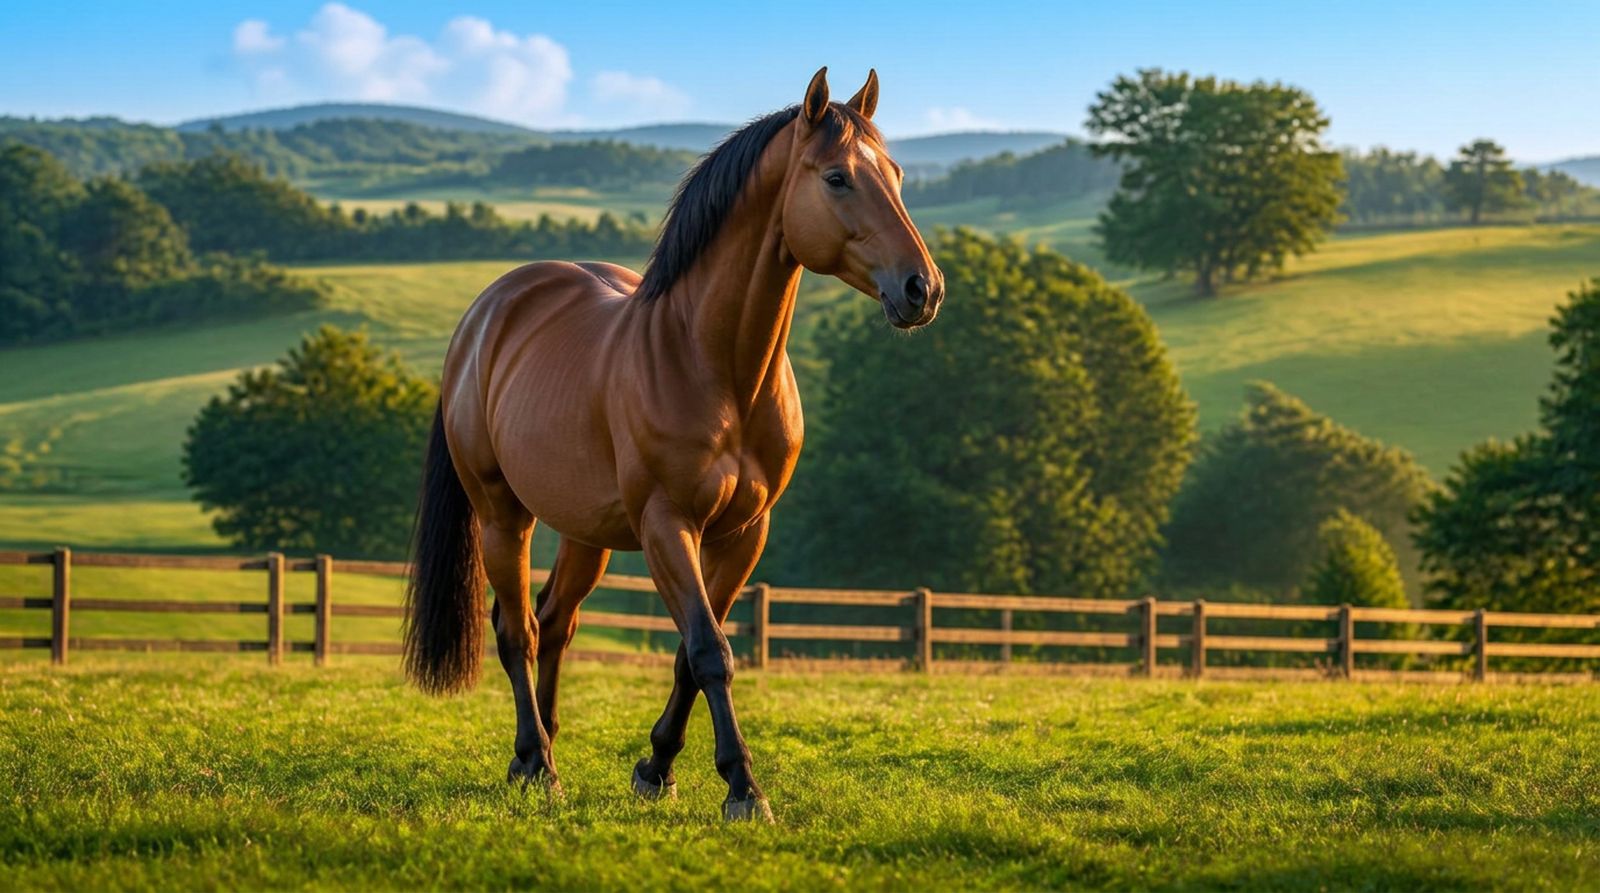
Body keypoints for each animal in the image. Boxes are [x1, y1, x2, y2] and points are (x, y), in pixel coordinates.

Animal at [402, 67, 943, 822]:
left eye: (894, 174)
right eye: (837, 177)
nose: (923, 288)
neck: (715, 365)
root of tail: (484, 316)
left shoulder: (743, 534)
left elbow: (692, 651)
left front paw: (656, 767)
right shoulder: (667, 524)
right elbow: (710, 648)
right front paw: (744, 787)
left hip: (586, 533)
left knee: (556, 622)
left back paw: (537, 752)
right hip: (500, 516)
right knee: (519, 631)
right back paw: (538, 763)